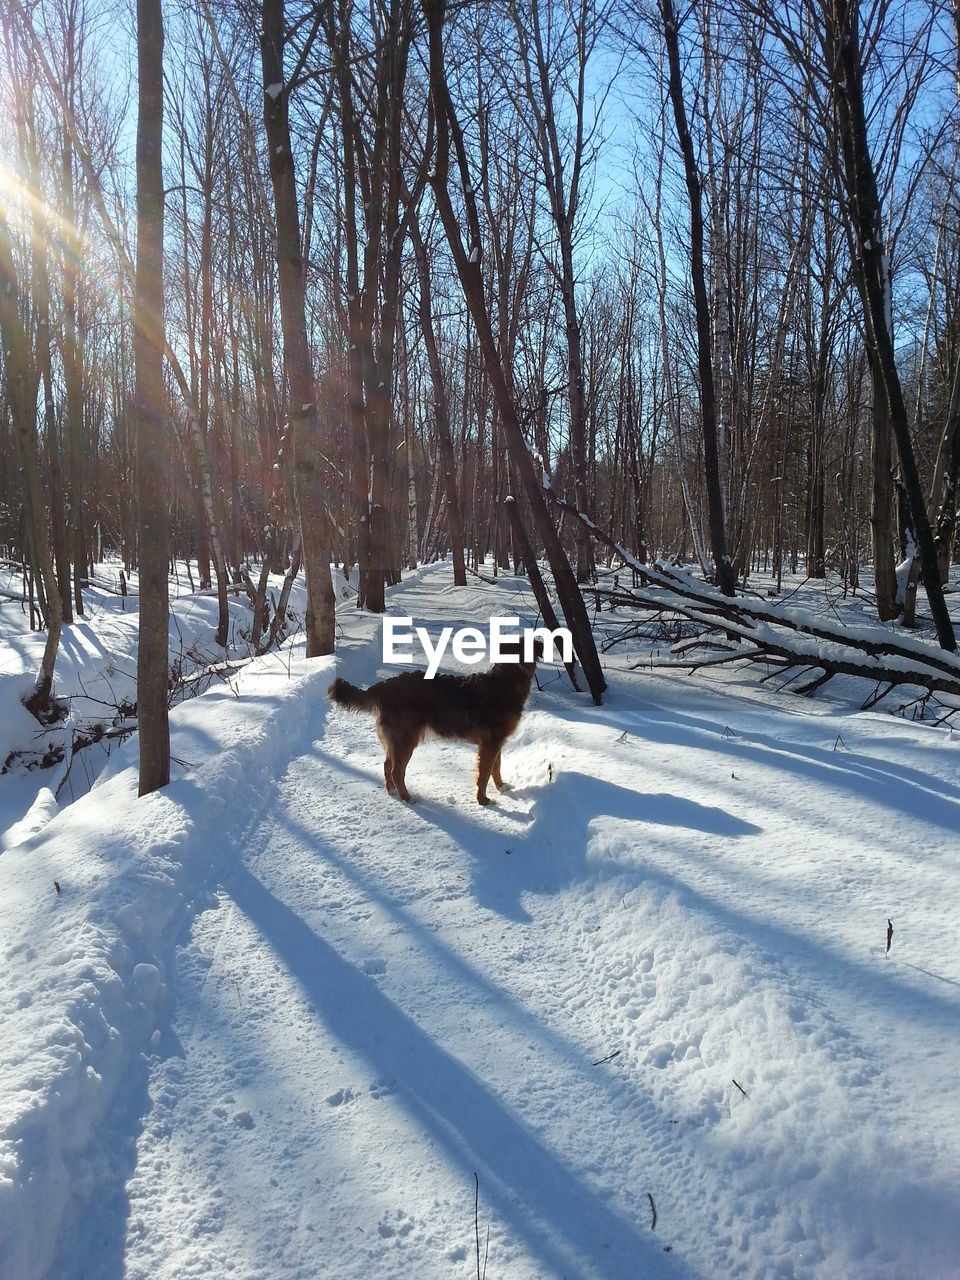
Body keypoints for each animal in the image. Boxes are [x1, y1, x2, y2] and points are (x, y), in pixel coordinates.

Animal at [330, 637, 542, 798]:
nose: (525, 665)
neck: (506, 680)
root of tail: (385, 685)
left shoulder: (496, 742)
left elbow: (495, 768)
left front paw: (501, 787)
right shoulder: (490, 743)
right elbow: (484, 775)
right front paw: (483, 800)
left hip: (396, 740)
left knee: (387, 764)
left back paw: (392, 791)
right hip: (405, 739)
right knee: (396, 770)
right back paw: (407, 798)